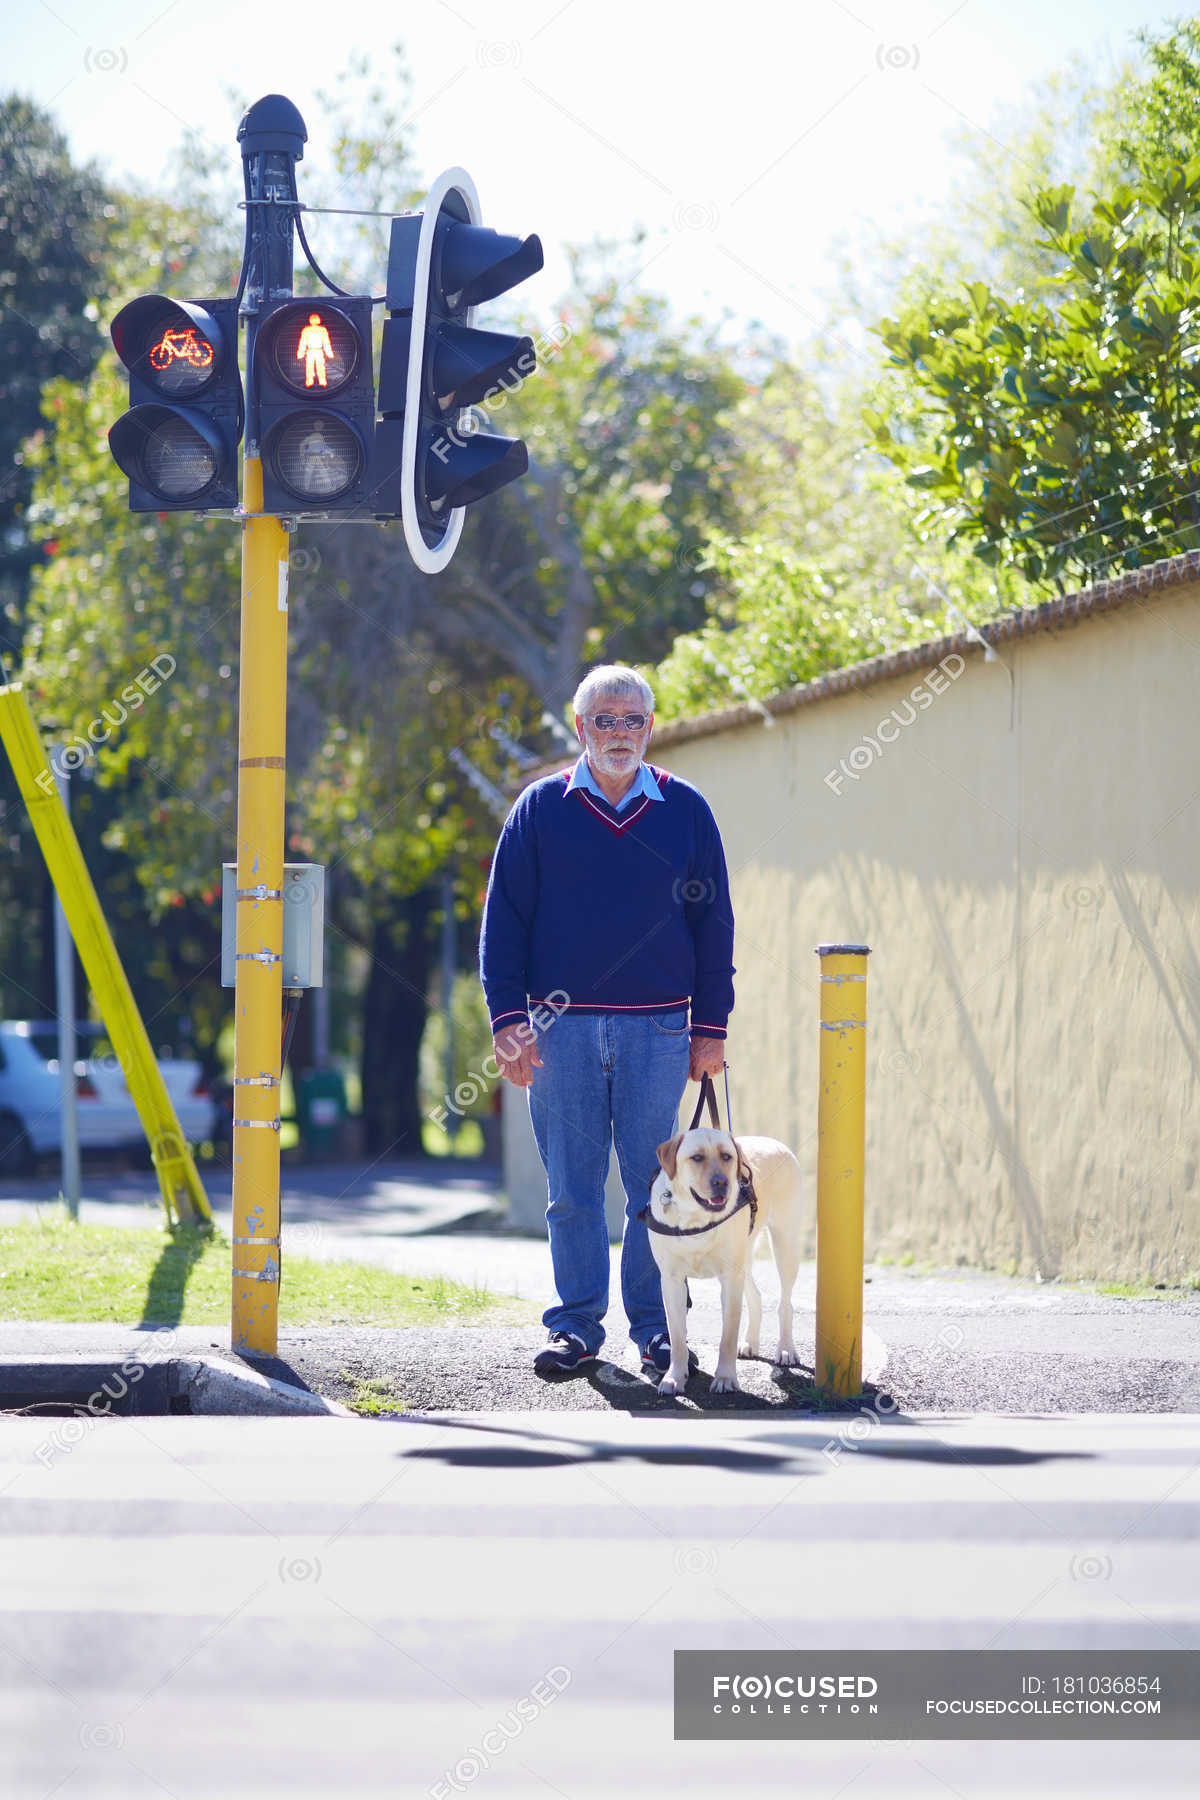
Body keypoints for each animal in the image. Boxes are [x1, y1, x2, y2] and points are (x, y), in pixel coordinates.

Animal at [644, 1080, 802, 1389]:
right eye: (696, 1158)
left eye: (727, 1157)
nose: (722, 1183)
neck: (695, 1218)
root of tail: (776, 1142)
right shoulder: (671, 1280)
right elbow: (677, 1337)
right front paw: (674, 1377)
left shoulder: (729, 1278)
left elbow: (727, 1335)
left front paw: (726, 1378)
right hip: (746, 1256)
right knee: (756, 1297)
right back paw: (751, 1343)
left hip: (785, 1244)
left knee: (785, 1302)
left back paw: (786, 1349)